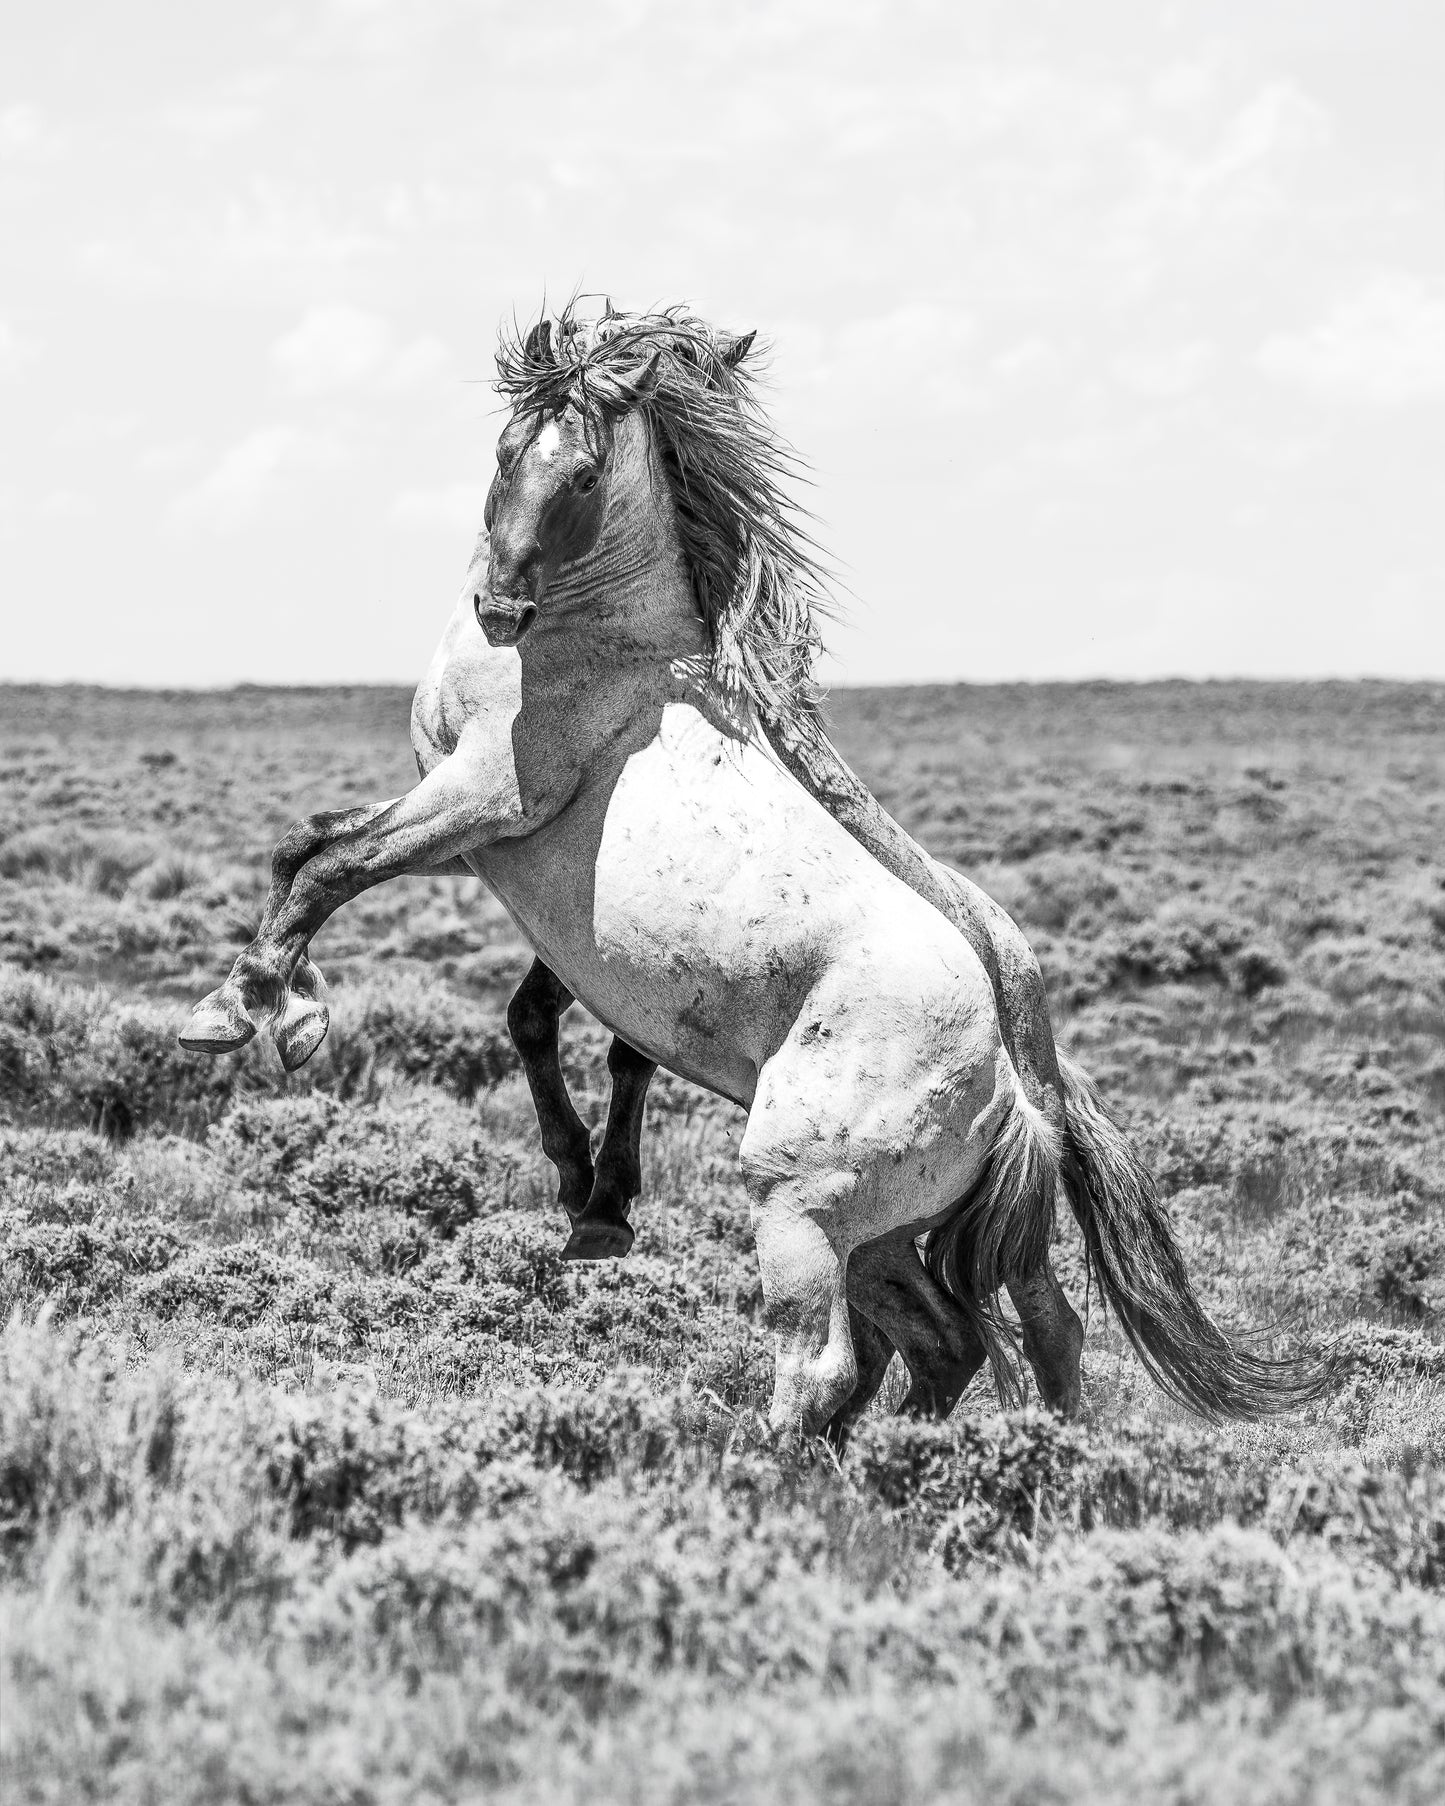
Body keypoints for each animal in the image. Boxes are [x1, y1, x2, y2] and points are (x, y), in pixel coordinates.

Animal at [181, 304, 1330, 1439]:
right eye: (507, 449)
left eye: (584, 476)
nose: (499, 608)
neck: (598, 649)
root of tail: (1012, 1085)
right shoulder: (501, 868)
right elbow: (469, 965)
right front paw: (584, 1199)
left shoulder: (484, 808)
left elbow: (328, 868)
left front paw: (250, 1013)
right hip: (895, 1231)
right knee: (993, 1333)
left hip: (801, 1200)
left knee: (831, 1365)